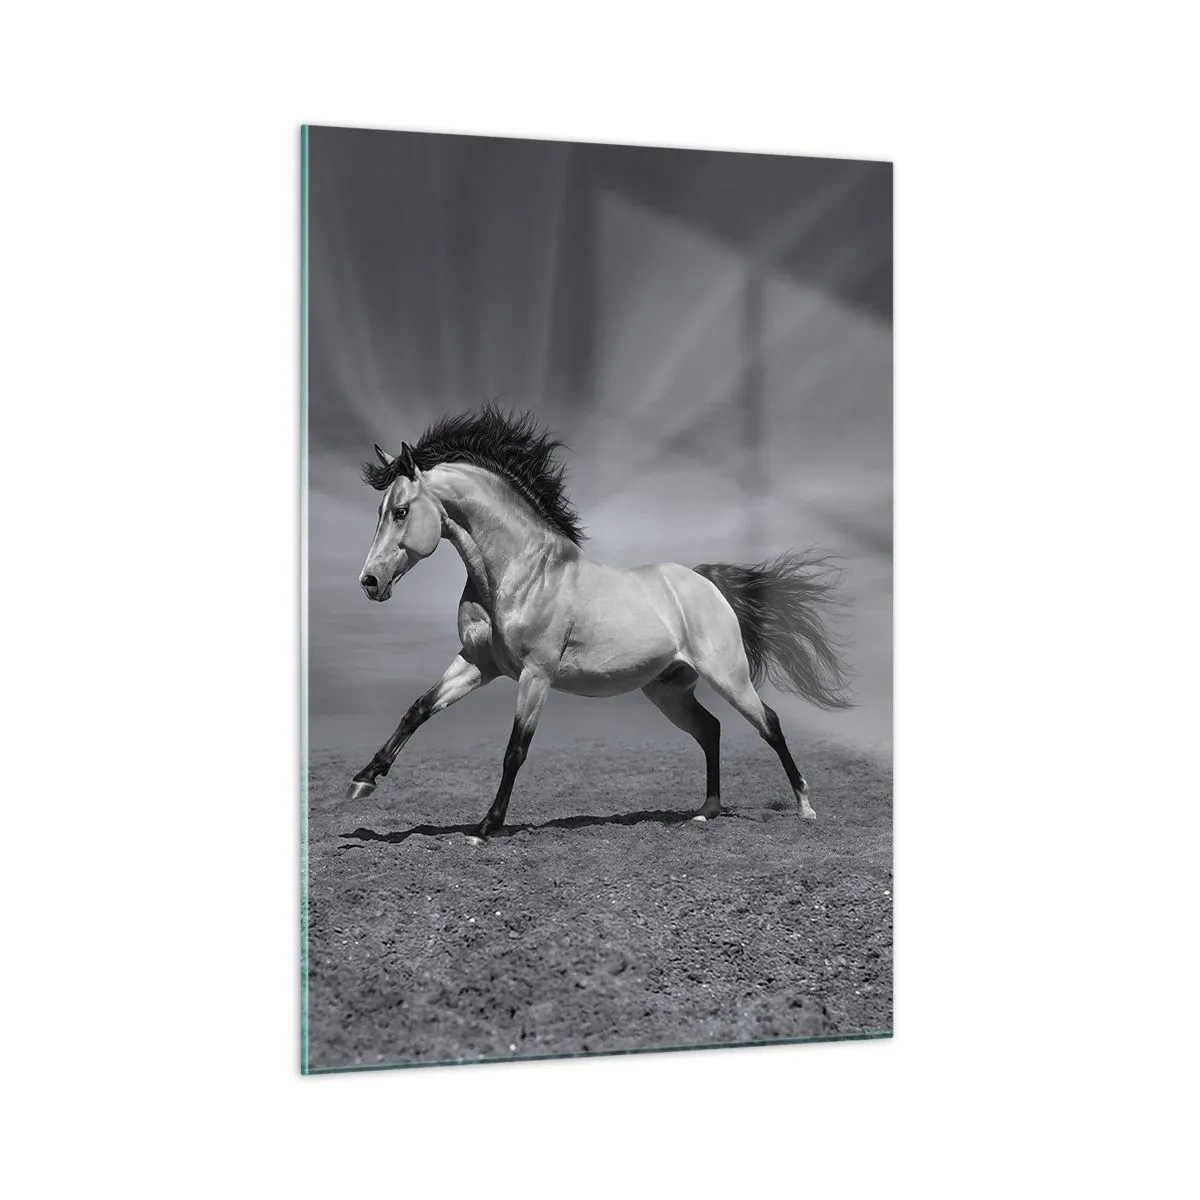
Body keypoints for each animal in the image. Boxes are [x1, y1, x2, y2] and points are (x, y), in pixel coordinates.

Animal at [346, 406, 851, 843]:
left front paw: (486, 827)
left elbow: (515, 750)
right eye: (381, 511)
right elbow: (417, 709)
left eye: (401, 511)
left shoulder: (535, 676)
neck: (519, 572)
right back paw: (706, 811)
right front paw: (363, 780)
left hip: (728, 676)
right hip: (668, 690)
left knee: (769, 723)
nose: (369, 582)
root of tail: (704, 582)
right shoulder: (477, 664)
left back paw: (805, 807)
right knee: (710, 729)